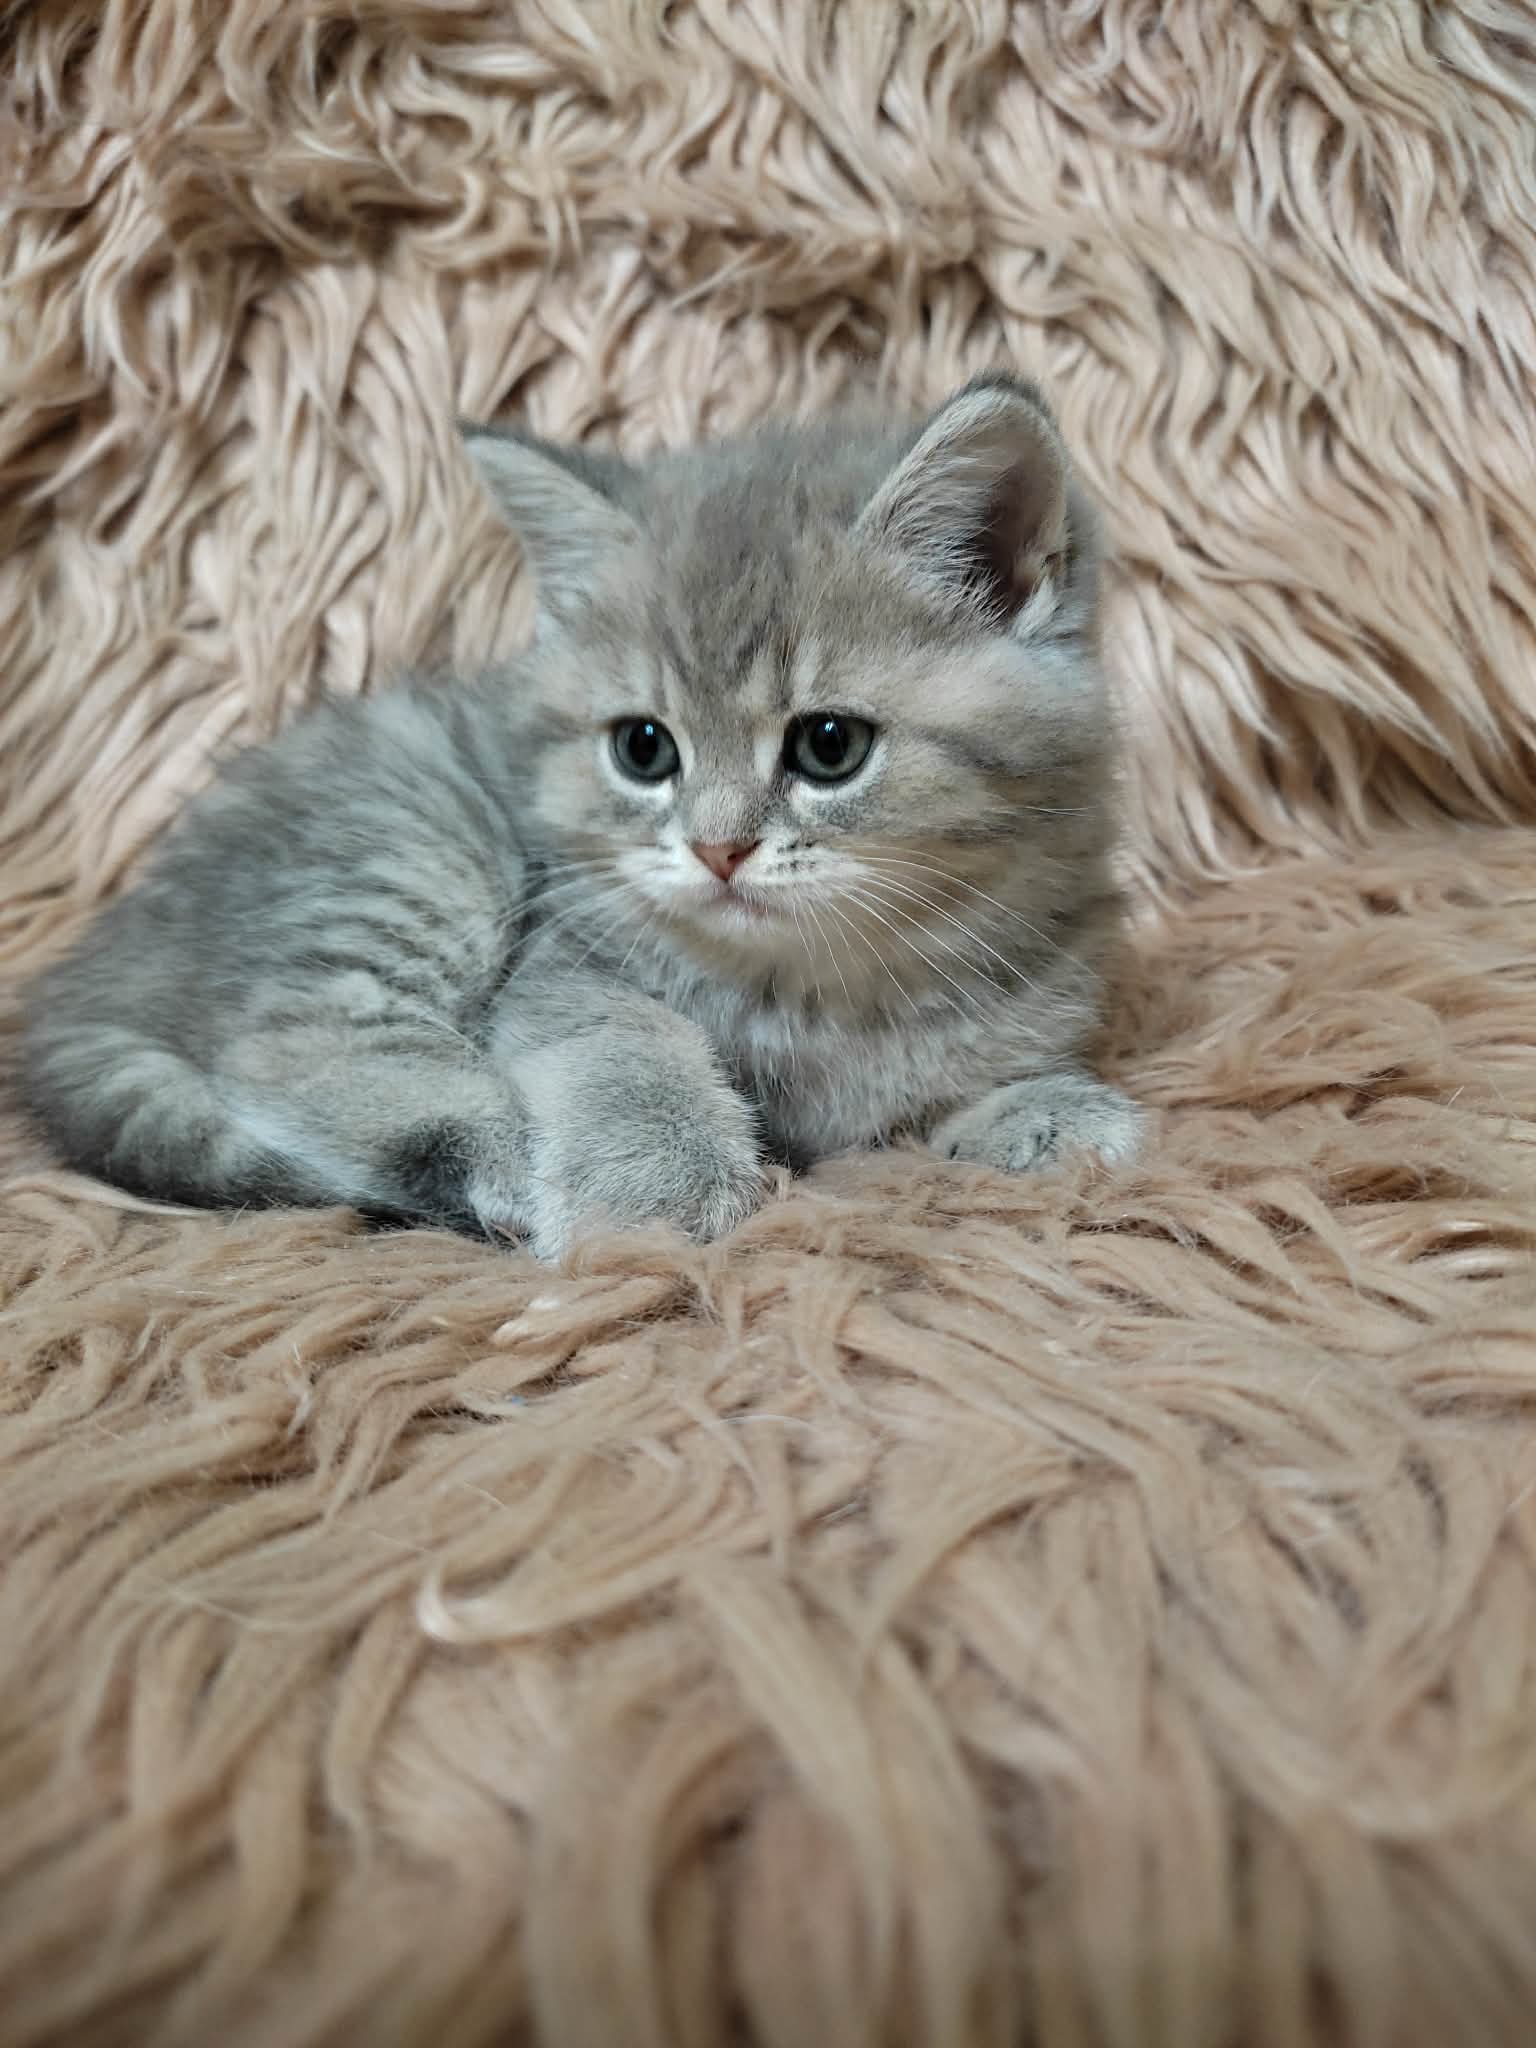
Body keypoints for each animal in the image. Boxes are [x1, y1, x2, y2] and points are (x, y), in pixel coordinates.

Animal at [19, 372, 1143, 1260]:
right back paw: (497, 1162)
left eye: (830, 745)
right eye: (644, 748)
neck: (819, 993)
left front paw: (1043, 1108)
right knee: (289, 1045)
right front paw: (657, 1184)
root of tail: (90, 965)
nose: (718, 848)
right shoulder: (563, 963)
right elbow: (625, 1041)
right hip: (410, 852)